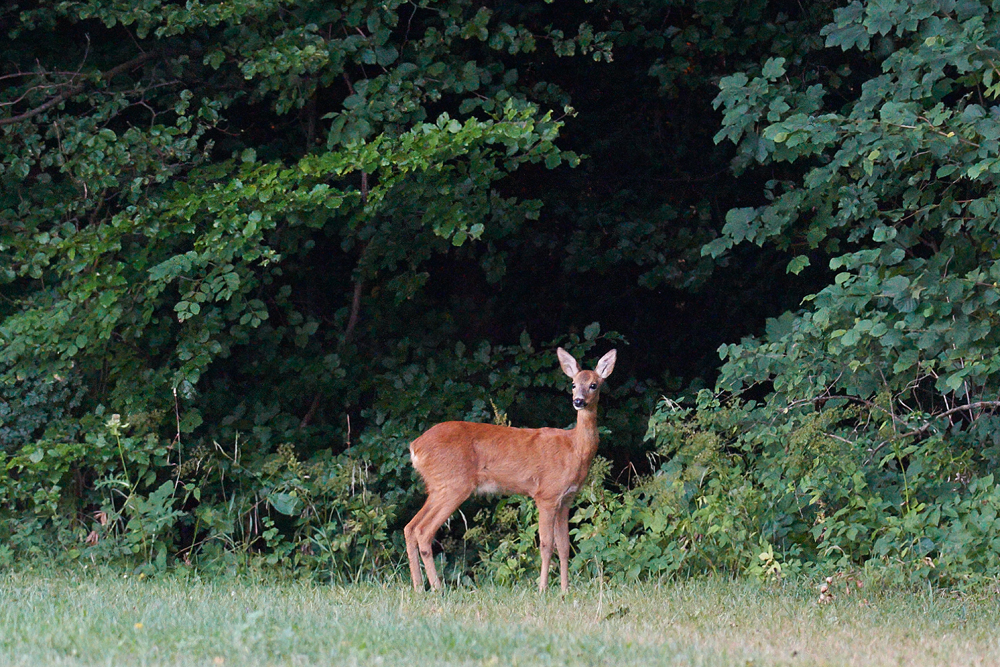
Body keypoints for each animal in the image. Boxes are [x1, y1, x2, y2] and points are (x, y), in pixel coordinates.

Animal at [402, 348, 612, 592]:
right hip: (453, 484)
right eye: (573, 384)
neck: (574, 448)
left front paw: (564, 590)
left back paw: (419, 587)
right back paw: (437, 588)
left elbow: (564, 546)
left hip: (437, 486)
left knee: (410, 527)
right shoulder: (546, 494)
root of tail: (415, 447)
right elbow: (546, 544)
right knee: (423, 531)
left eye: (594, 384)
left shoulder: (566, 499)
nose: (578, 401)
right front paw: (542, 589)